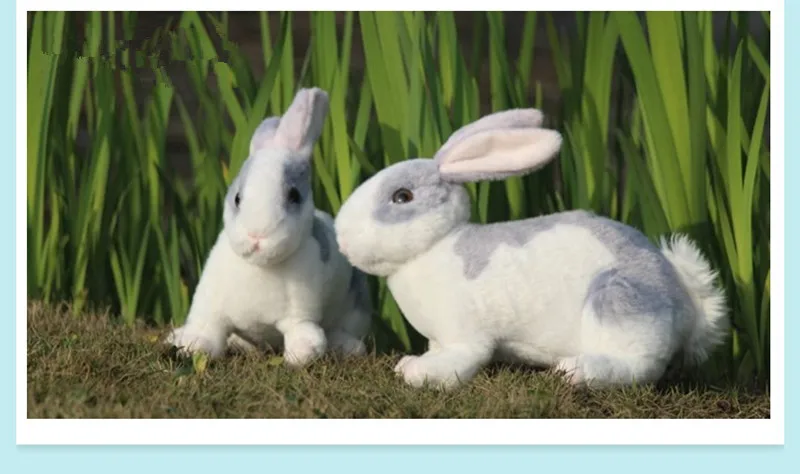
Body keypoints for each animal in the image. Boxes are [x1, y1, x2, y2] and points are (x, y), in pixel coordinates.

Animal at [165, 87, 372, 368]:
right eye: (237, 198)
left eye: (294, 196)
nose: (256, 235)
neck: (258, 267)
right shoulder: (210, 304)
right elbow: (207, 328)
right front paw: (193, 344)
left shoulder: (299, 310)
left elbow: (300, 329)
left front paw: (303, 353)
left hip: (354, 308)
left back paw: (346, 346)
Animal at [333, 108, 728, 389]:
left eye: (402, 196)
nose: (341, 236)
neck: (435, 247)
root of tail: (685, 298)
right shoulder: (439, 337)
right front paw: (411, 362)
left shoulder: (465, 335)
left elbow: (460, 360)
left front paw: (416, 371)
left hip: (618, 304)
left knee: (638, 368)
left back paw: (577, 370)